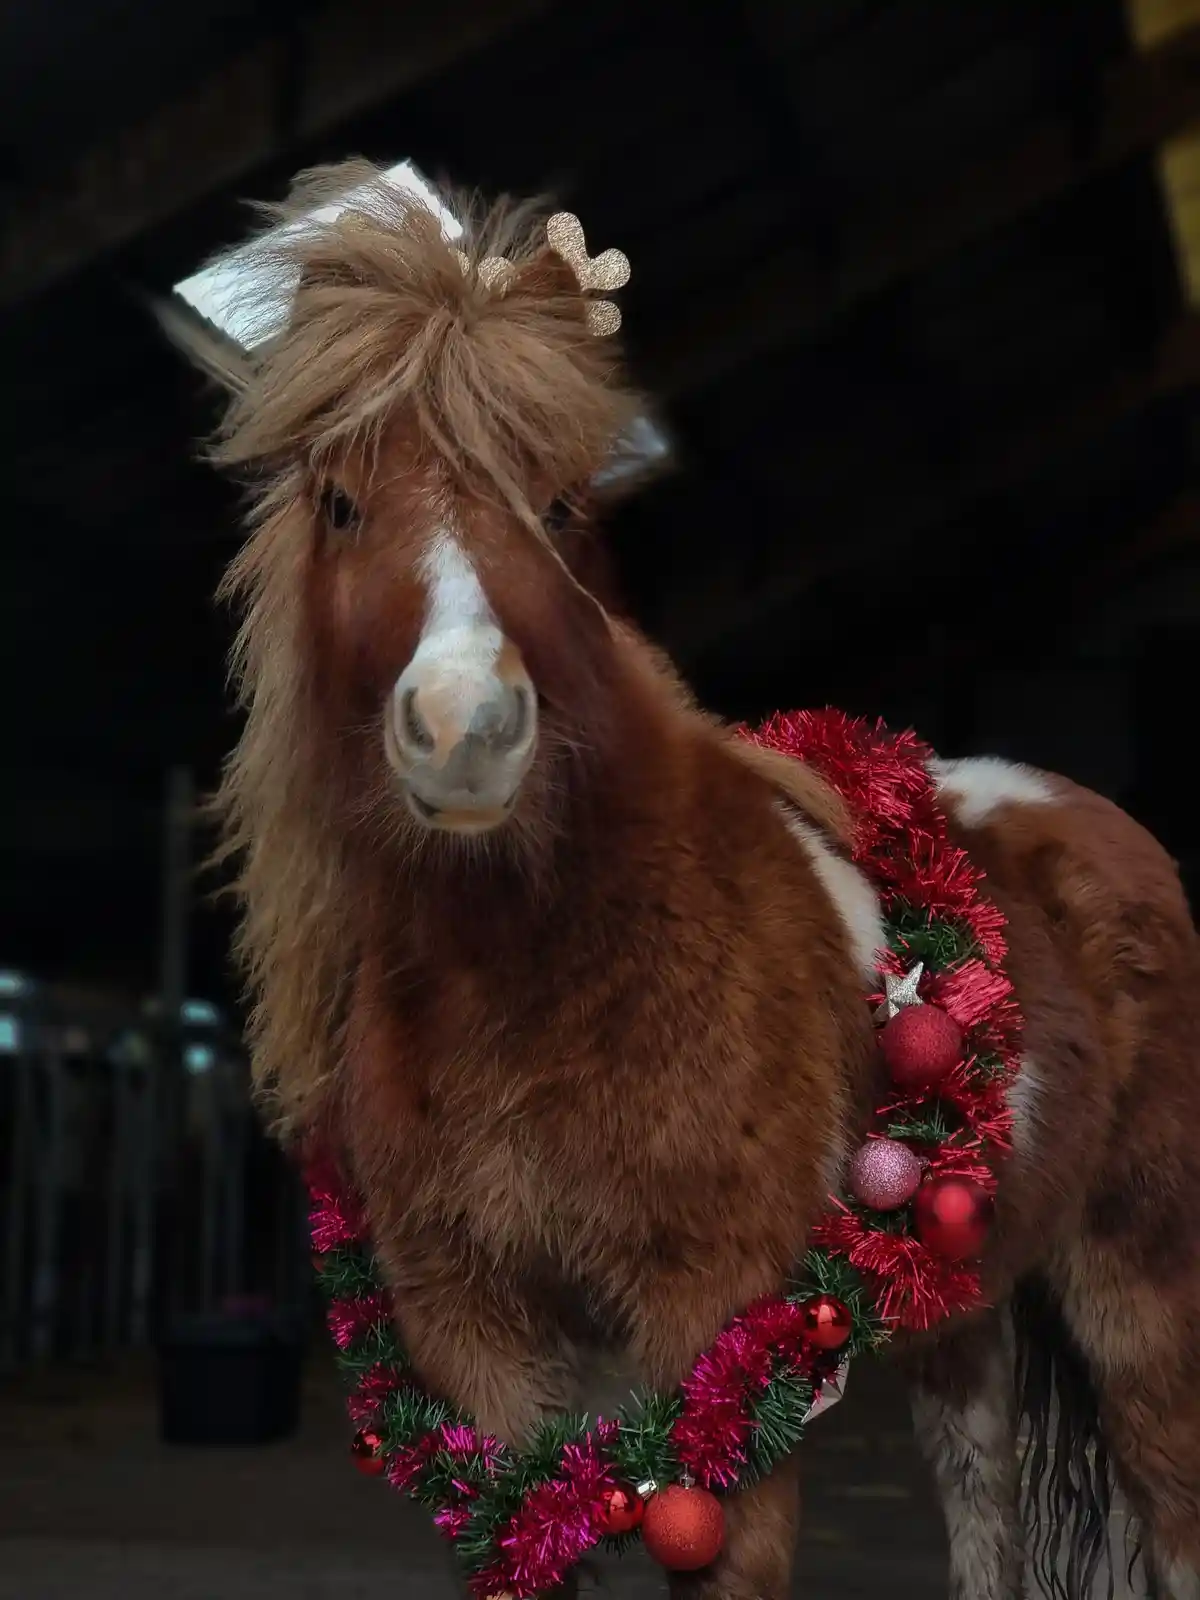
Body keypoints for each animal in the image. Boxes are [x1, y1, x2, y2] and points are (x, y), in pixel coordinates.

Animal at [173, 160, 1200, 1599]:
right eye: (338, 504)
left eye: (560, 508)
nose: (465, 725)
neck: (549, 987)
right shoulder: (484, 1361)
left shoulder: (716, 1352)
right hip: (962, 1308)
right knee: (983, 1515)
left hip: (1136, 1292)